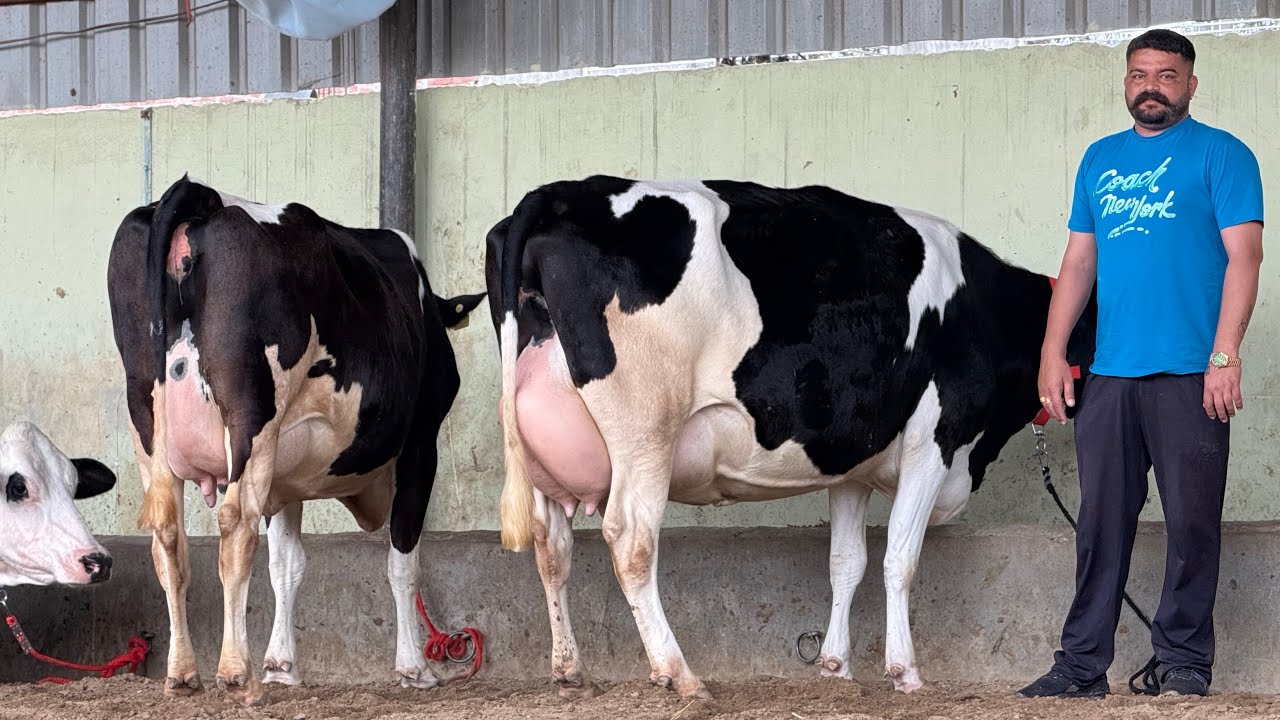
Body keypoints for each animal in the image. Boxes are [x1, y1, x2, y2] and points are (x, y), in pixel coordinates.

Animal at [106, 175, 485, 704]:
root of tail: (201, 195)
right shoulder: (420, 445)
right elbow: (403, 562)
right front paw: (414, 668)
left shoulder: (286, 479)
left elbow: (286, 564)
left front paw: (282, 666)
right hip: (252, 416)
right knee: (235, 526)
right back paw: (234, 672)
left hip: (147, 420)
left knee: (168, 535)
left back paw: (182, 673)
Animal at [485, 175, 1098, 699]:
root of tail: (557, 194)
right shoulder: (935, 441)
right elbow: (899, 559)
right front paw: (904, 672)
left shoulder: (850, 465)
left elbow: (846, 561)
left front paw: (836, 666)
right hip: (646, 427)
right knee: (632, 541)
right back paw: (681, 675)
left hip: (545, 456)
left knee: (550, 545)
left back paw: (570, 670)